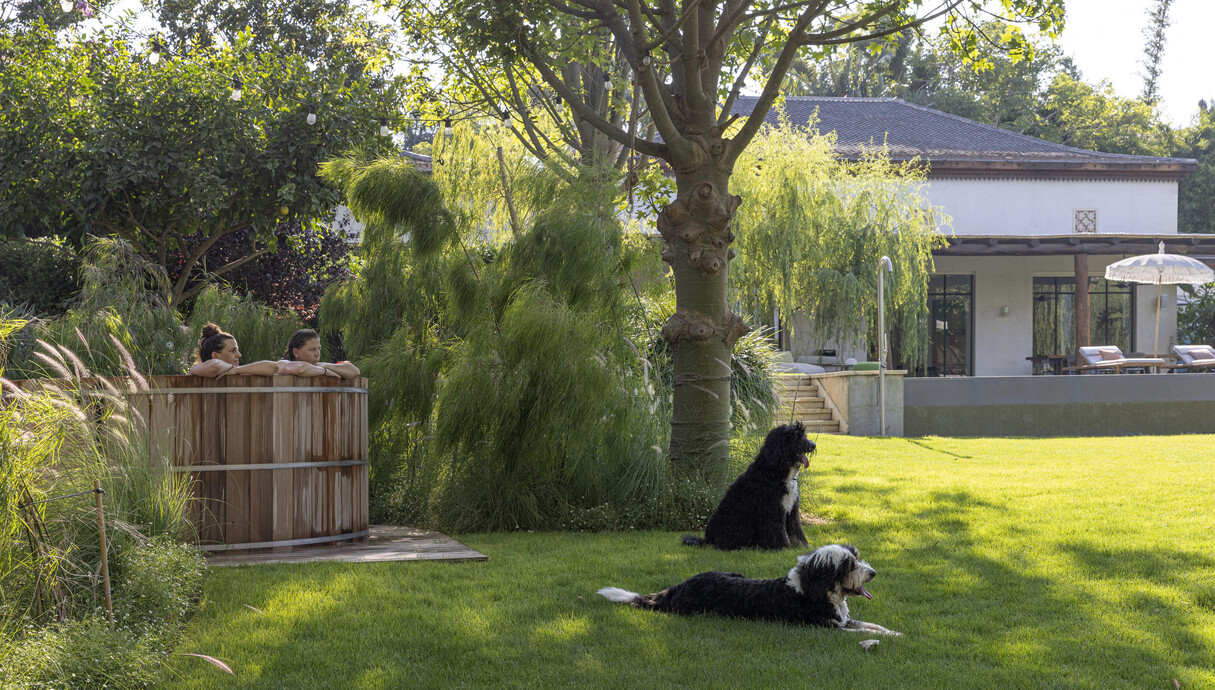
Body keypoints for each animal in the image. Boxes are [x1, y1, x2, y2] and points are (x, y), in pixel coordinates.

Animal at [600, 544, 903, 636]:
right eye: (849, 564)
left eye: (856, 558)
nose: (872, 573)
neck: (810, 590)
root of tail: (678, 587)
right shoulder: (827, 628)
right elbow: (863, 632)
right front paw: (890, 637)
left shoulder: (844, 619)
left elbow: (873, 625)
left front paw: (896, 632)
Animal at [685, 420, 816, 549]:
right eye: (795, 437)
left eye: (803, 435)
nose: (813, 445)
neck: (774, 470)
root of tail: (708, 540)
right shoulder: (772, 510)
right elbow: (777, 530)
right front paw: (782, 547)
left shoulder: (791, 509)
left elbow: (795, 530)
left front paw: (802, 545)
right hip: (742, 523)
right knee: (725, 544)